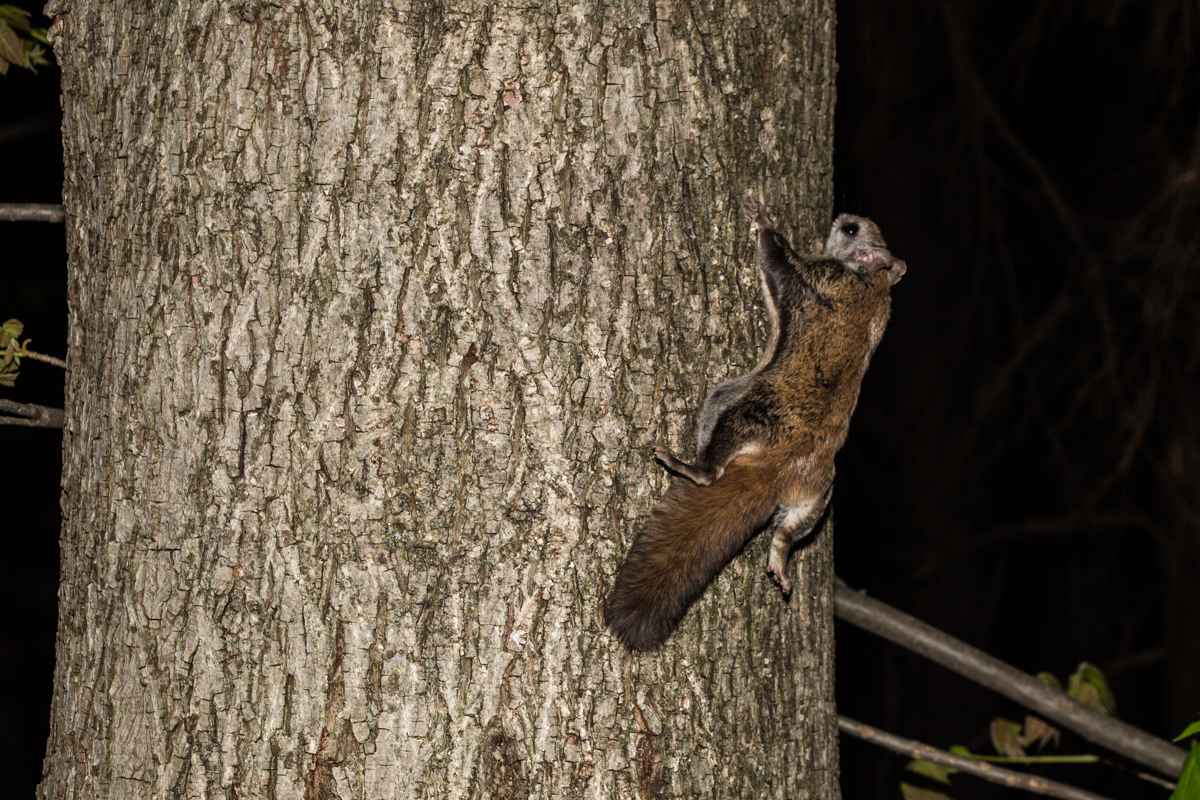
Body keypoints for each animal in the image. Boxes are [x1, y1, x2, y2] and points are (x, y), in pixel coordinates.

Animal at [604, 199, 902, 652]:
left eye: (851, 230)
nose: (842, 217)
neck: (872, 282)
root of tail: (780, 467)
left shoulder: (816, 277)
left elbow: (777, 257)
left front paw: (762, 219)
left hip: (738, 406)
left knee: (712, 471)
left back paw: (689, 467)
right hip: (817, 497)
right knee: (788, 534)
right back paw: (778, 561)